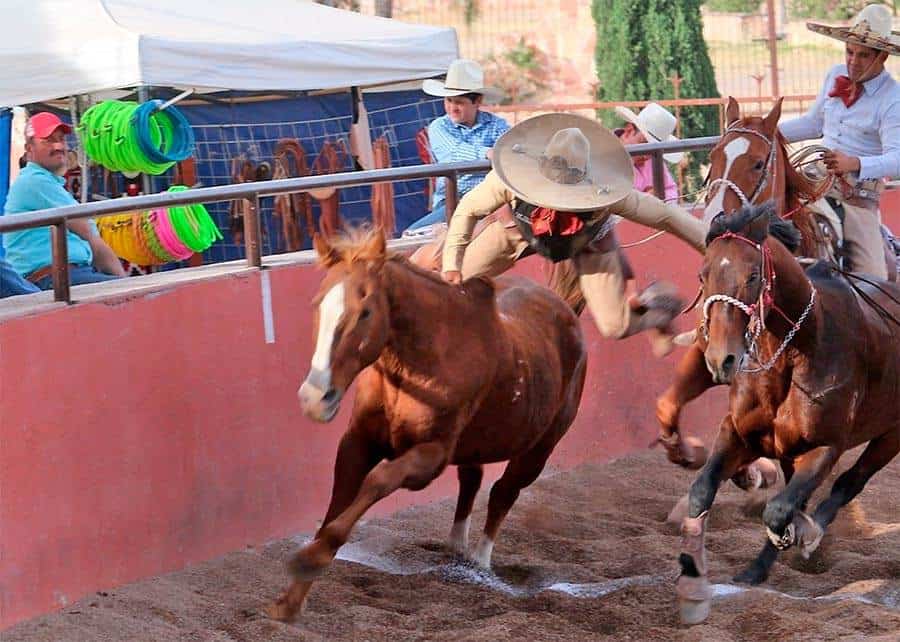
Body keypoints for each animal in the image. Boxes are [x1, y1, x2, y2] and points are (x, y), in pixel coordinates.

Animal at [266, 228, 592, 616]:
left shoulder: (430, 456)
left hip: (539, 449)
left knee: (503, 492)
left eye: (366, 311)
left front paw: (307, 562)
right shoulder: (357, 442)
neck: (418, 364)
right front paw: (291, 600)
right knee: (472, 480)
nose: (315, 397)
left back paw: (480, 561)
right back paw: (456, 550)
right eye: (318, 303)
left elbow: (378, 481)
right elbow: (336, 509)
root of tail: (564, 310)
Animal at [676, 204, 900, 620]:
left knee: (850, 482)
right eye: (702, 273)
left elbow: (779, 510)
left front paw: (801, 535)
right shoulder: (740, 433)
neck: (799, 349)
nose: (720, 359)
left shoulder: (826, 446)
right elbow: (702, 492)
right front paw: (693, 582)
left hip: (891, 434)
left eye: (752, 275)